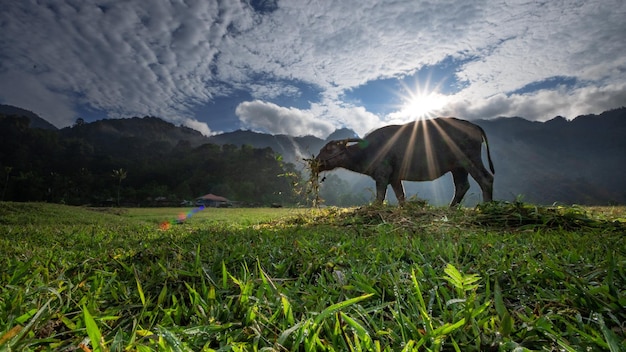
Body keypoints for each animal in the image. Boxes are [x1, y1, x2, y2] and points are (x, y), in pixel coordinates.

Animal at [314, 118, 494, 206]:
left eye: (329, 149)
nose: (315, 163)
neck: (369, 150)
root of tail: (472, 125)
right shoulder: (395, 178)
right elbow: (401, 197)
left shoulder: (382, 176)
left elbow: (380, 197)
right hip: (457, 167)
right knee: (462, 186)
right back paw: (451, 208)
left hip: (469, 160)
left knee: (486, 179)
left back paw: (486, 206)